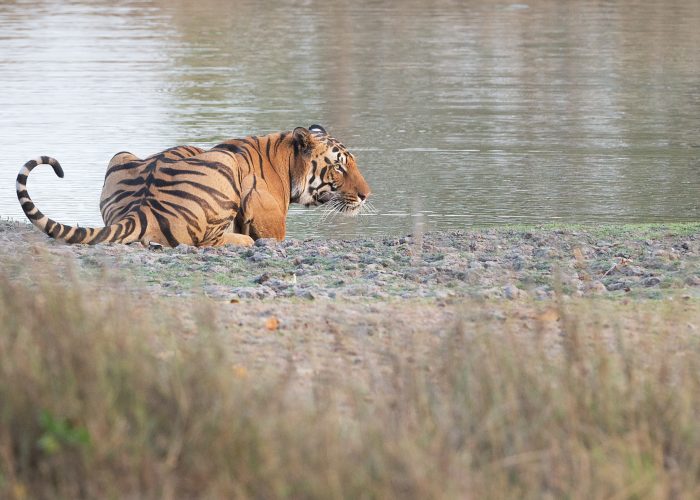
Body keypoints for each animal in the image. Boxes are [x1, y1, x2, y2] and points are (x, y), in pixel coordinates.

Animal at [16, 125, 371, 247]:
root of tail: (141, 207)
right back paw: (242, 241)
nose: (367, 195)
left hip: (121, 154)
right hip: (225, 165)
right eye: (339, 166)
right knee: (207, 243)